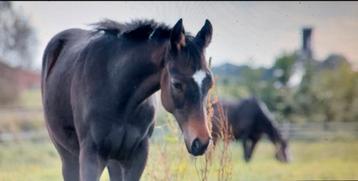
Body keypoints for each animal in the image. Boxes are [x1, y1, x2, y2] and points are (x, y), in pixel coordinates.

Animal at [42, 18, 215, 181]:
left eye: (210, 83)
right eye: (176, 84)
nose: (201, 142)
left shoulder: (137, 156)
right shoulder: (91, 156)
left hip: (114, 160)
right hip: (69, 157)